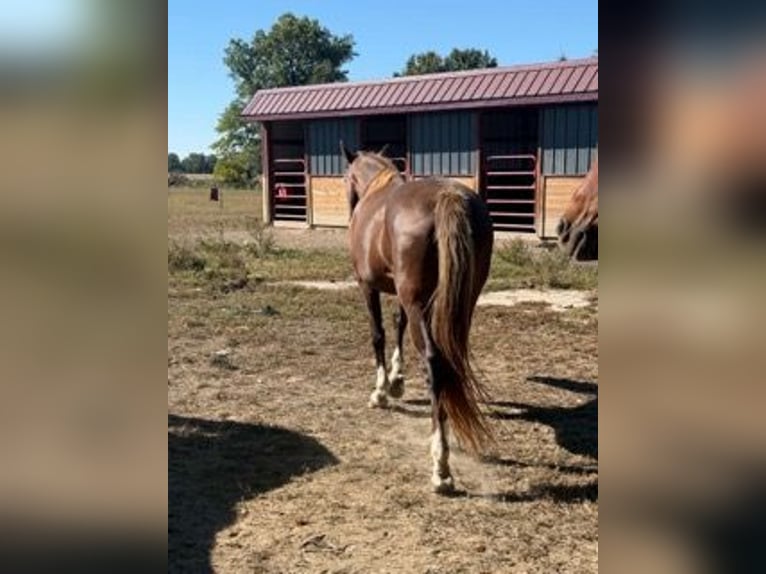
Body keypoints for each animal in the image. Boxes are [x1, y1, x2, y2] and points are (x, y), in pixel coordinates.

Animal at [341, 143, 494, 493]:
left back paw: (441, 465)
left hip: (419, 302)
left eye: (345, 179)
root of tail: (448, 196)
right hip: (460, 304)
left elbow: (379, 334)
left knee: (435, 361)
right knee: (453, 359)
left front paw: (382, 391)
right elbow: (398, 325)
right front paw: (397, 380)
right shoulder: (404, 298)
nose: (350, 209)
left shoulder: (367, 286)